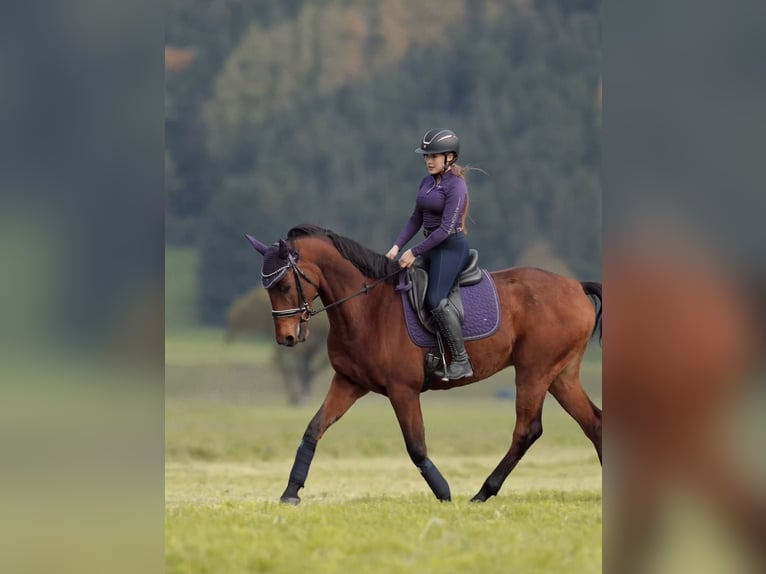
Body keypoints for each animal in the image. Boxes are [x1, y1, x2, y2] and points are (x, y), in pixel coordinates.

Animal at [245, 224, 602, 504]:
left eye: (284, 285)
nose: (286, 338)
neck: (367, 309)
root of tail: (575, 286)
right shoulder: (349, 383)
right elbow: (313, 429)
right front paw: (291, 491)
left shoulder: (403, 390)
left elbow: (416, 446)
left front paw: (444, 493)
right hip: (561, 376)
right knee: (594, 423)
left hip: (533, 372)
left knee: (527, 430)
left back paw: (483, 492)